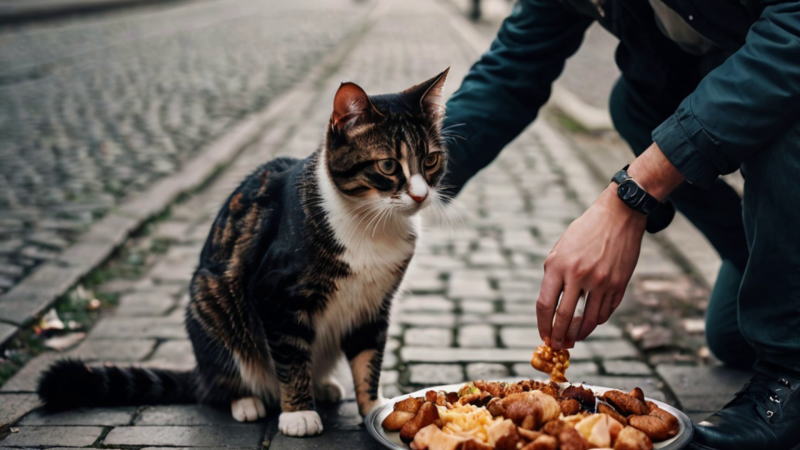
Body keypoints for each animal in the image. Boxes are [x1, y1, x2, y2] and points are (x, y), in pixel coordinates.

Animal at [39, 68, 450, 438]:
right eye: (388, 165)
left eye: (430, 160)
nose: (420, 195)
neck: (372, 224)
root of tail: (200, 372)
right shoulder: (276, 294)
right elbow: (290, 358)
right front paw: (298, 415)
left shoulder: (373, 304)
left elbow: (368, 360)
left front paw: (374, 409)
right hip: (211, 301)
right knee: (220, 385)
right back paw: (248, 401)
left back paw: (322, 385)